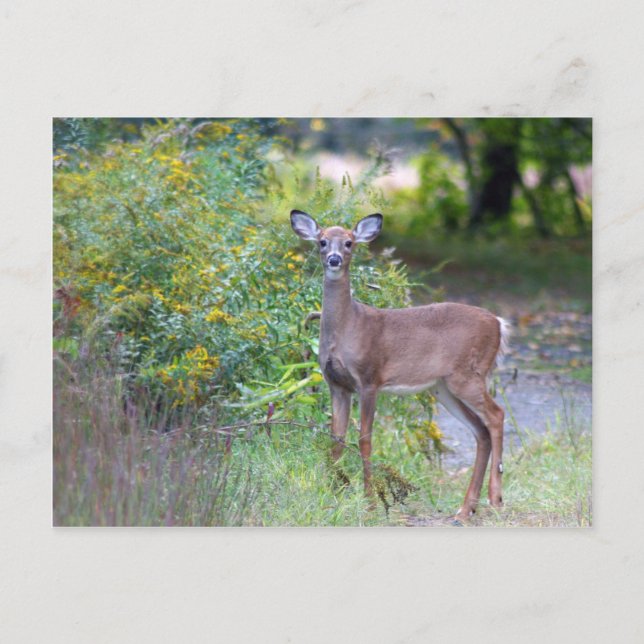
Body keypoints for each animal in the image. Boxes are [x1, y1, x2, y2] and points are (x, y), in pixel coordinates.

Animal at [290, 210, 510, 521]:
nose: (334, 259)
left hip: (468, 374)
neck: (348, 327)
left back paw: (495, 498)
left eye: (349, 243)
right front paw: (331, 494)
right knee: (480, 431)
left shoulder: (370, 379)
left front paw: (369, 502)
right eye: (321, 241)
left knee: (496, 415)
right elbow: (336, 439)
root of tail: (499, 323)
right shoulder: (337, 385)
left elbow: (365, 440)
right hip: (443, 387)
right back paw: (465, 509)